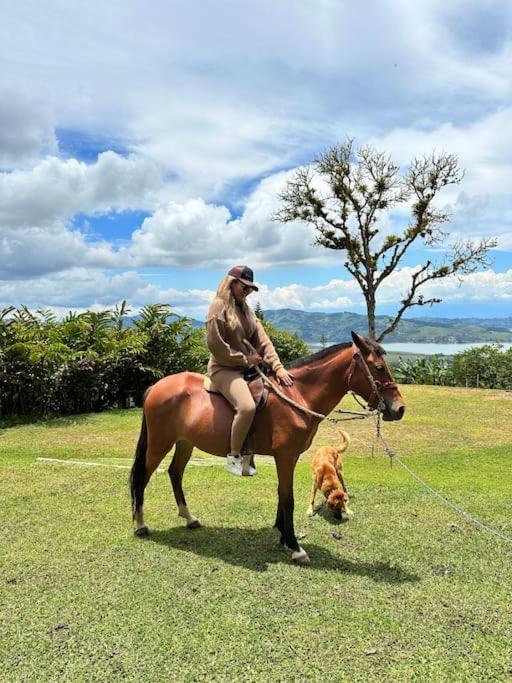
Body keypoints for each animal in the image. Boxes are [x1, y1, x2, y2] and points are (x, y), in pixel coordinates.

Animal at [130, 332, 406, 568]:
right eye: (379, 367)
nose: (400, 408)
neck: (297, 395)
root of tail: (156, 387)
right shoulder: (286, 457)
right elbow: (288, 499)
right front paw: (294, 547)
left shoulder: (286, 459)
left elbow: (281, 495)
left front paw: (283, 535)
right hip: (159, 443)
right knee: (142, 477)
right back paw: (141, 525)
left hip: (185, 442)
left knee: (175, 473)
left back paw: (189, 518)